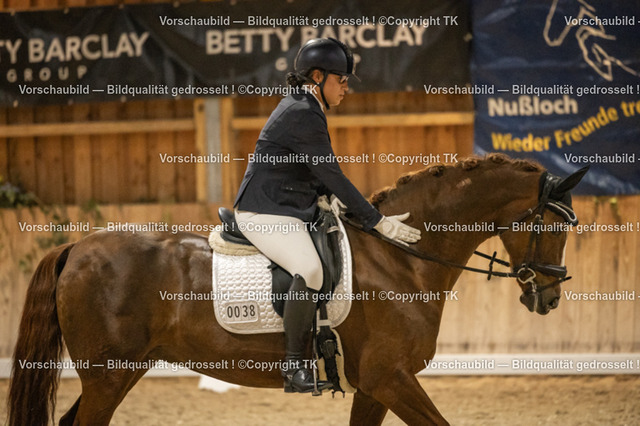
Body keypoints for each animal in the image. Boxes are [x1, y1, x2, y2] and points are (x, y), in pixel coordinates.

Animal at [8, 154, 588, 425]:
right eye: (553, 227)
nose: (549, 297)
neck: (400, 260)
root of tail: (78, 247)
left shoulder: (373, 387)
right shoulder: (392, 378)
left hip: (122, 373)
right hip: (108, 376)